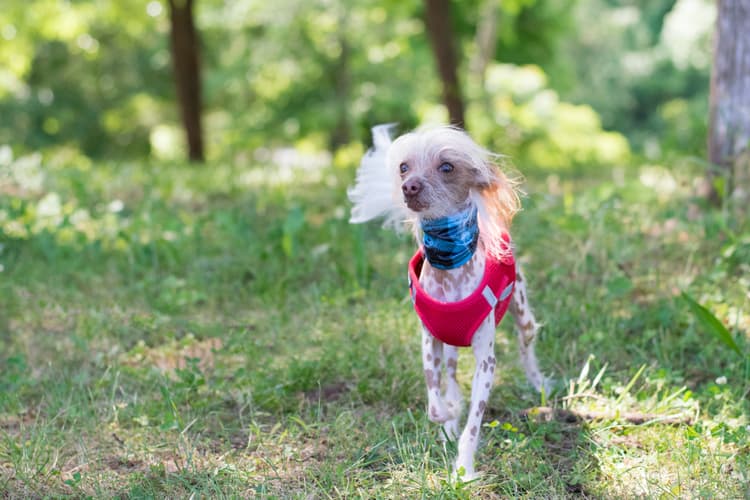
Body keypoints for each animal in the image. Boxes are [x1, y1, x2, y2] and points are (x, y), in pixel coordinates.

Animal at [350, 125, 544, 480]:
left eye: (447, 167)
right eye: (403, 167)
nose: (409, 186)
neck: (449, 269)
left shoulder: (486, 362)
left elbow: (473, 424)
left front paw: (464, 468)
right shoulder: (430, 342)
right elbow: (434, 399)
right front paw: (448, 418)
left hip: (523, 315)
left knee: (527, 349)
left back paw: (539, 386)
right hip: (450, 346)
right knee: (451, 376)